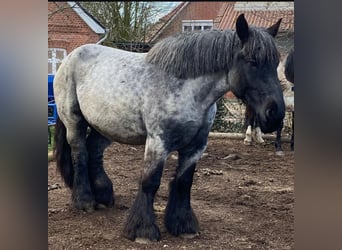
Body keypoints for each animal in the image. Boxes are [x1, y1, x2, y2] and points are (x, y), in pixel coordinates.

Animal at [52, 14, 284, 242]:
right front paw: (142, 231)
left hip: (106, 125)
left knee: (94, 151)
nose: (275, 114)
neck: (186, 89)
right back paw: (84, 201)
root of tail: (69, 58)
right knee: (80, 154)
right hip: (74, 120)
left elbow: (184, 182)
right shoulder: (158, 142)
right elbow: (150, 182)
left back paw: (103, 195)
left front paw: (183, 225)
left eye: (276, 63)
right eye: (253, 61)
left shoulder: (196, 146)